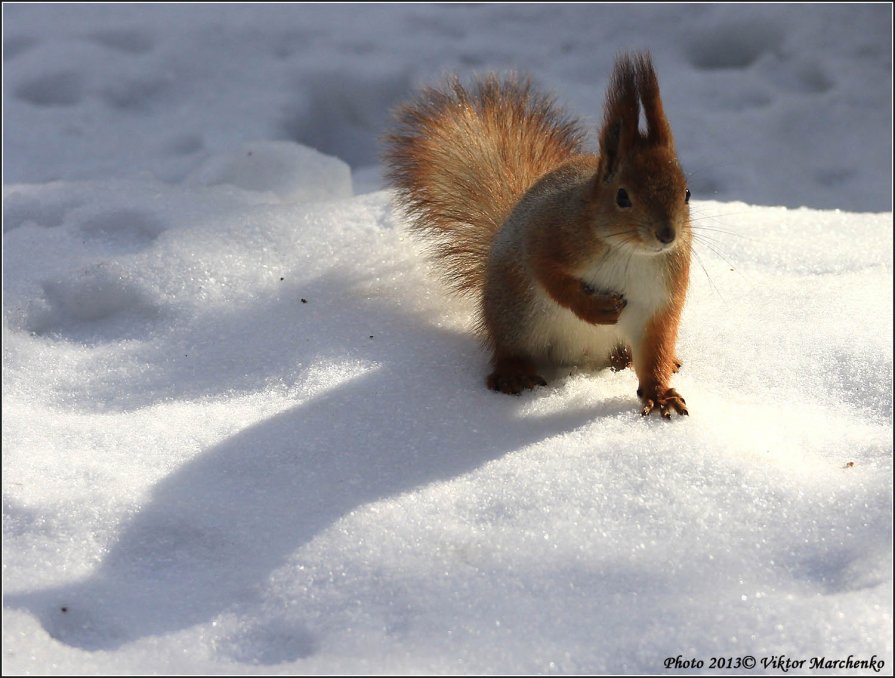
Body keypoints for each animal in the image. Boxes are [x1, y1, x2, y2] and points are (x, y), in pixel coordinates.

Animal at [384, 50, 692, 418]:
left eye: (686, 193)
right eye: (622, 197)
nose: (667, 235)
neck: (630, 252)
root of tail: (580, 358)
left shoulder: (663, 299)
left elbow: (656, 351)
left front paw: (660, 394)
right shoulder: (553, 235)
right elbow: (546, 271)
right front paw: (593, 309)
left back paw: (637, 359)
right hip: (514, 313)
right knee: (508, 348)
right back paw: (514, 373)